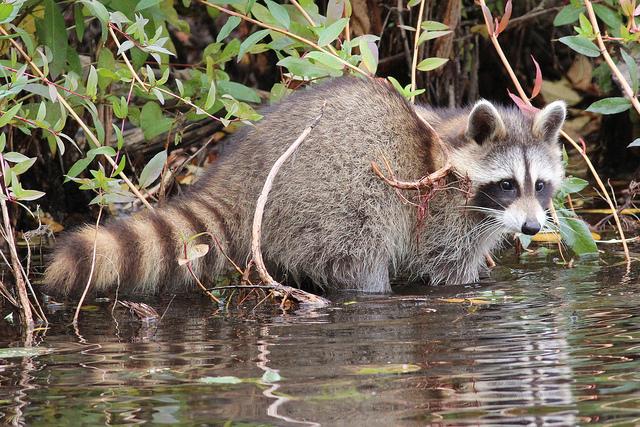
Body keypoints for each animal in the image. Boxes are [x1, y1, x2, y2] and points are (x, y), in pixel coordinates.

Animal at [45, 77, 564, 298]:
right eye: (505, 184)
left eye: (539, 185)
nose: (532, 228)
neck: (447, 141)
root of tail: (243, 171)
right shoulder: (440, 213)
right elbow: (446, 269)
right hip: (333, 194)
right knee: (360, 252)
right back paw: (370, 290)